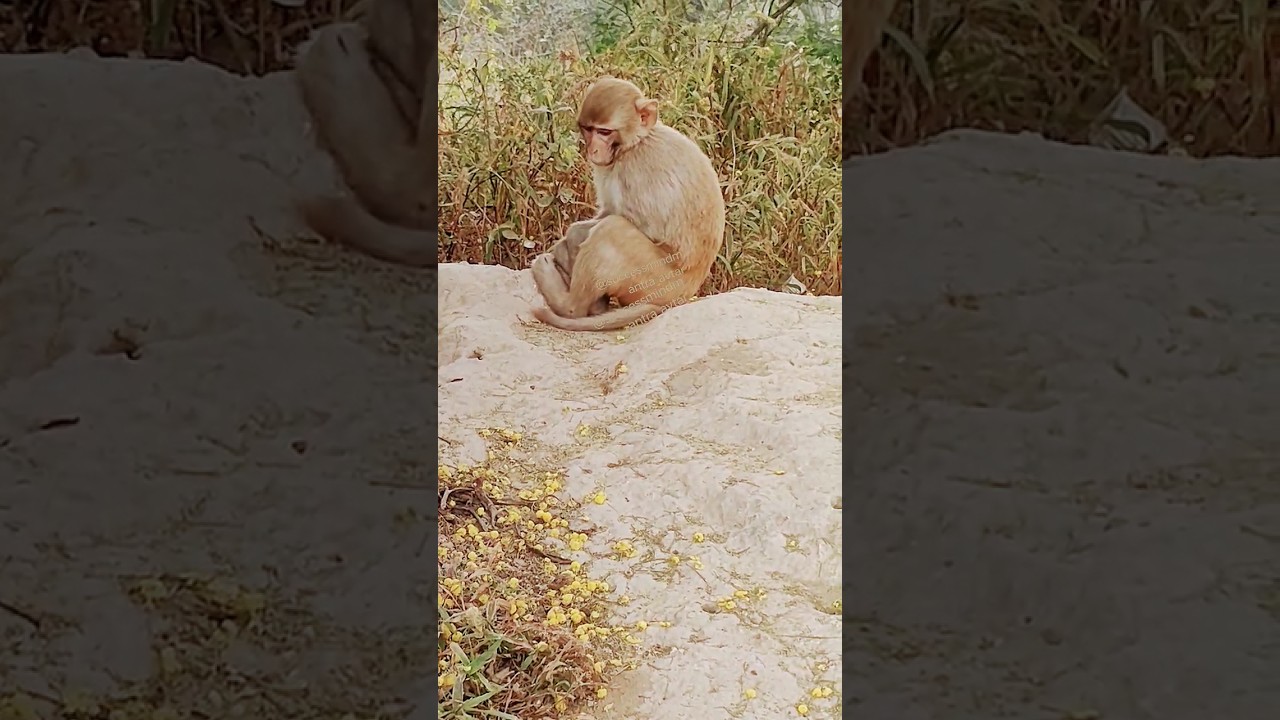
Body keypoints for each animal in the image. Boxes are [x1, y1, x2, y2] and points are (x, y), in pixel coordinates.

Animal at [530, 77, 726, 331]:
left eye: (604, 132)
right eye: (588, 129)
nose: (593, 150)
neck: (635, 143)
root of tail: (684, 294)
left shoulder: (636, 170)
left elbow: (647, 226)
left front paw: (572, 239)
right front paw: (567, 243)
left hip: (655, 279)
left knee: (612, 230)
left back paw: (570, 306)